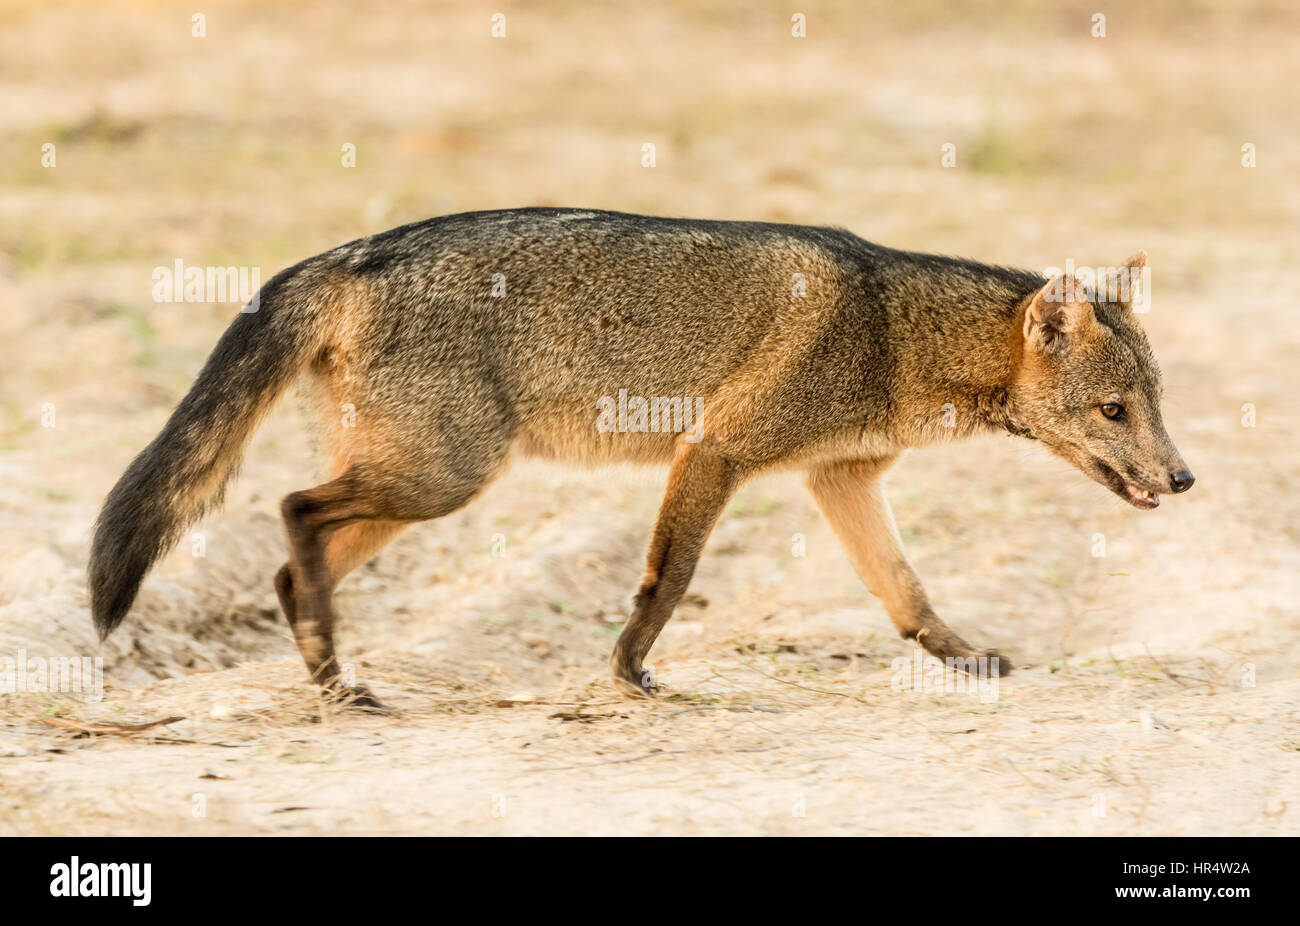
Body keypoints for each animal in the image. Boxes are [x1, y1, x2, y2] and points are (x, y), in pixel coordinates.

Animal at [89, 208, 1195, 709]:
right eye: (1115, 410)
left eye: (1156, 405)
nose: (1185, 479)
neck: (892, 331)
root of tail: (350, 250)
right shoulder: (716, 450)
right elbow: (671, 575)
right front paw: (626, 670)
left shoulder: (840, 477)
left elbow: (905, 592)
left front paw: (963, 656)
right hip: (442, 478)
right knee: (290, 508)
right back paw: (332, 674)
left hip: (419, 488)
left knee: (291, 558)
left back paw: (327, 671)